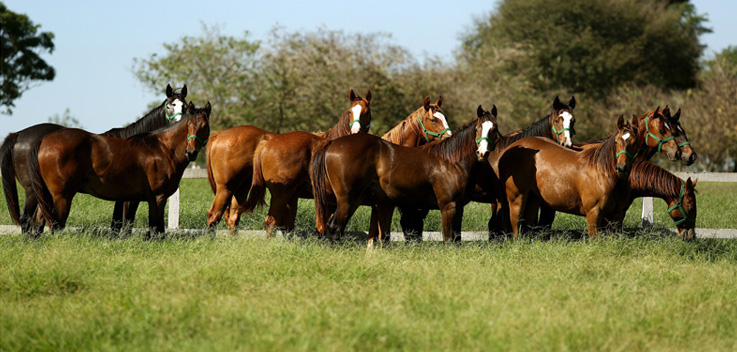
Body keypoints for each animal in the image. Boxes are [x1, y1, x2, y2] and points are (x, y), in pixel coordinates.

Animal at [2, 84, 187, 235]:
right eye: (169, 105)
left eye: (184, 106)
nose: (179, 124)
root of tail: (18, 135)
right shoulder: (132, 196)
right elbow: (125, 223)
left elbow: (116, 224)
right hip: (33, 191)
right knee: (28, 219)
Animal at [27, 102, 208, 238]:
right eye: (189, 125)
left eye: (205, 126)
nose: (191, 152)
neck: (163, 148)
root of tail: (44, 140)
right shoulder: (157, 198)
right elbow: (156, 231)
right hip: (62, 197)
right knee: (55, 225)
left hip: (48, 196)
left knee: (39, 220)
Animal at [207, 89, 374, 232]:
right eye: (350, 112)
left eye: (366, 112)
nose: (356, 132)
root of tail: (218, 134)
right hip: (226, 188)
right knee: (214, 216)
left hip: (241, 189)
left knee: (233, 218)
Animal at [308, 104, 498, 245]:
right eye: (478, 129)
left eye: (494, 129)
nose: (483, 152)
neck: (451, 160)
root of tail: (332, 144)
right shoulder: (448, 206)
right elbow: (448, 239)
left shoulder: (458, 208)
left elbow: (456, 239)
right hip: (347, 199)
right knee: (335, 227)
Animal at [498, 114, 640, 238]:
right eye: (616, 142)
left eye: (634, 142)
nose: (621, 167)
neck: (601, 173)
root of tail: (509, 149)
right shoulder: (593, 212)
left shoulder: (616, 216)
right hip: (517, 197)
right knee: (515, 222)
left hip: (533, 198)